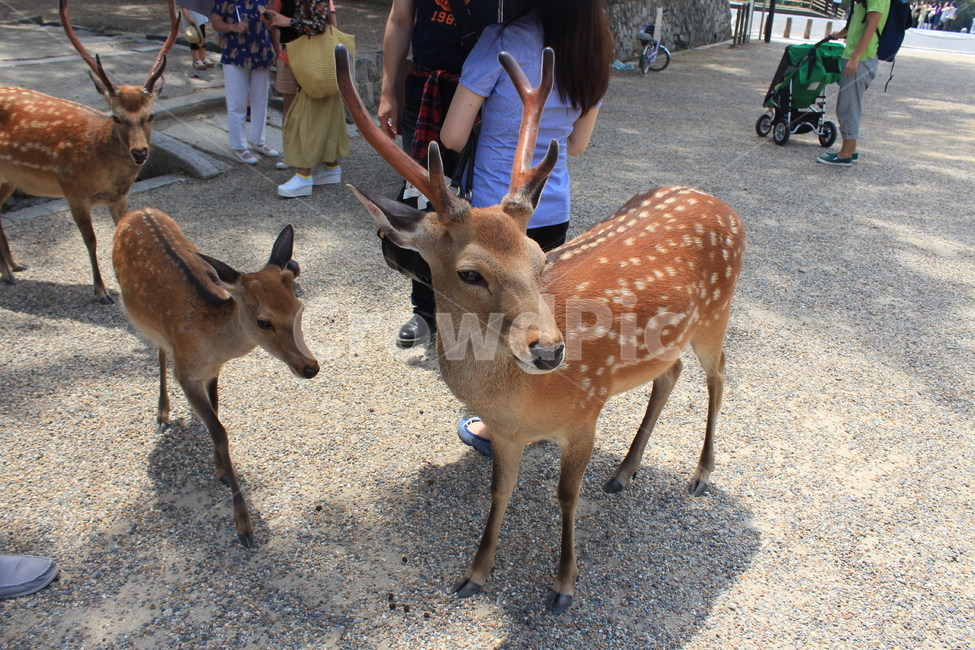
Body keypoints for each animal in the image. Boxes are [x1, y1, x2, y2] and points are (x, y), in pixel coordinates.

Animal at [0, 0, 180, 304]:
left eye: (151, 115)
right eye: (116, 117)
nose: (140, 152)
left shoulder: (119, 197)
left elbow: (121, 232)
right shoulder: (72, 190)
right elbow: (91, 240)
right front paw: (101, 291)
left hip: (9, 179)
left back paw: (15, 265)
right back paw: (7, 274)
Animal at [112, 208, 320, 547]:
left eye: (298, 308)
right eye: (264, 322)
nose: (310, 366)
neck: (210, 343)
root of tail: (135, 210)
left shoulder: (214, 370)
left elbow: (217, 416)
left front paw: (219, 467)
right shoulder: (187, 373)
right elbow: (220, 431)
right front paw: (244, 526)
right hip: (144, 324)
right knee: (159, 352)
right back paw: (162, 413)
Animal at [335, 44, 746, 614]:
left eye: (538, 258)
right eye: (470, 273)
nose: (550, 350)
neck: (520, 402)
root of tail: (726, 208)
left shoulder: (586, 411)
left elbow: (566, 496)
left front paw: (563, 585)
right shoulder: (507, 434)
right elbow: (499, 493)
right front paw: (475, 573)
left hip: (717, 313)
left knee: (718, 375)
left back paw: (702, 474)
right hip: (673, 337)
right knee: (671, 372)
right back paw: (624, 472)